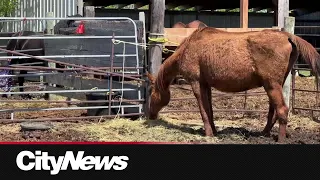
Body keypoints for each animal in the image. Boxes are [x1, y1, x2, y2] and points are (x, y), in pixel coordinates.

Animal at [147, 27, 320, 142]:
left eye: (151, 92)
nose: (151, 115)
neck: (186, 48)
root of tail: (288, 36)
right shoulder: (206, 84)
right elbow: (209, 110)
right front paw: (214, 130)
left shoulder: (195, 82)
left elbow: (203, 110)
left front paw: (208, 133)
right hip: (275, 84)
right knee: (274, 110)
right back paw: (264, 133)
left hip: (271, 84)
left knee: (282, 110)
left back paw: (280, 139)